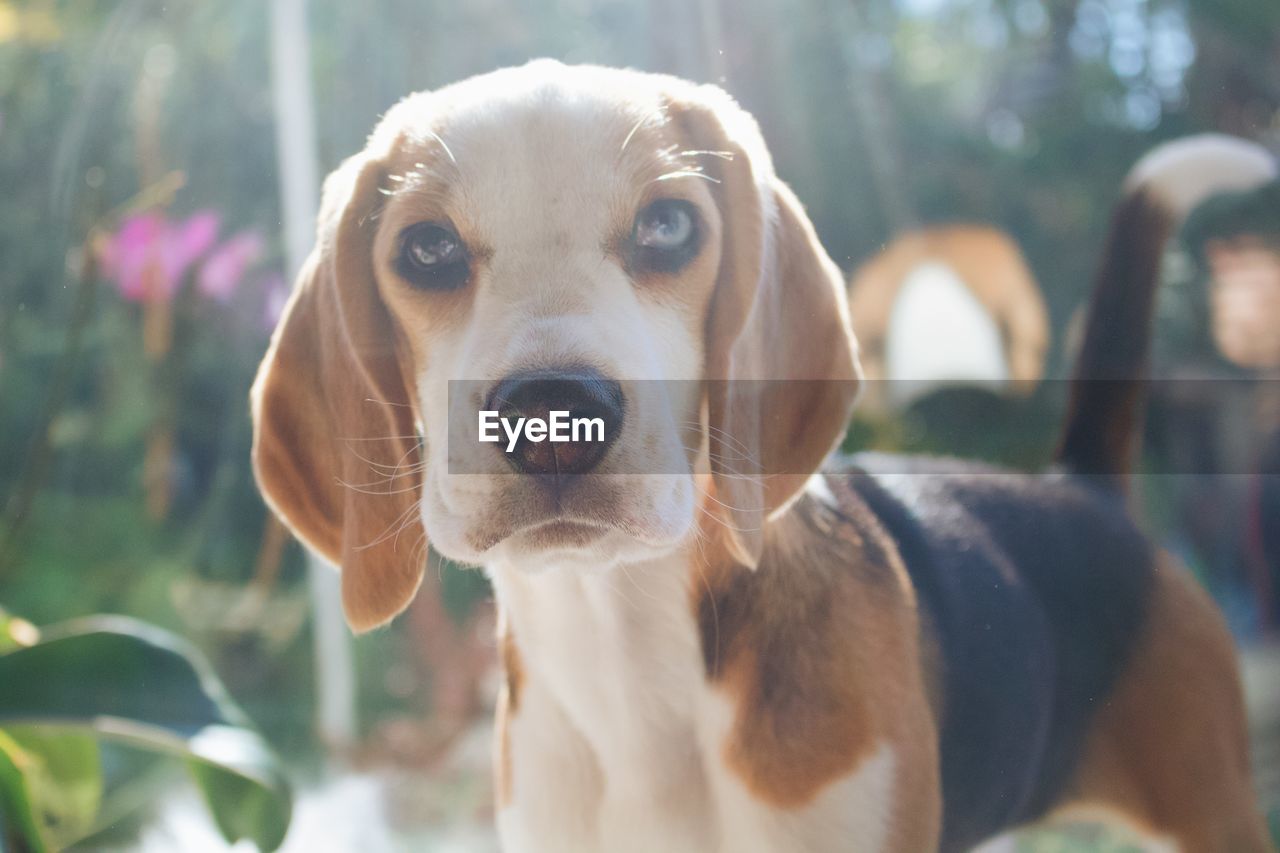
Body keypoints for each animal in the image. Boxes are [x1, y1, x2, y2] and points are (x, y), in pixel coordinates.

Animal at [254, 64, 1274, 850]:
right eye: (426, 248)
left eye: (669, 227)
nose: (552, 411)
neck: (625, 652)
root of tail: (1083, 488)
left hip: (1211, 809)